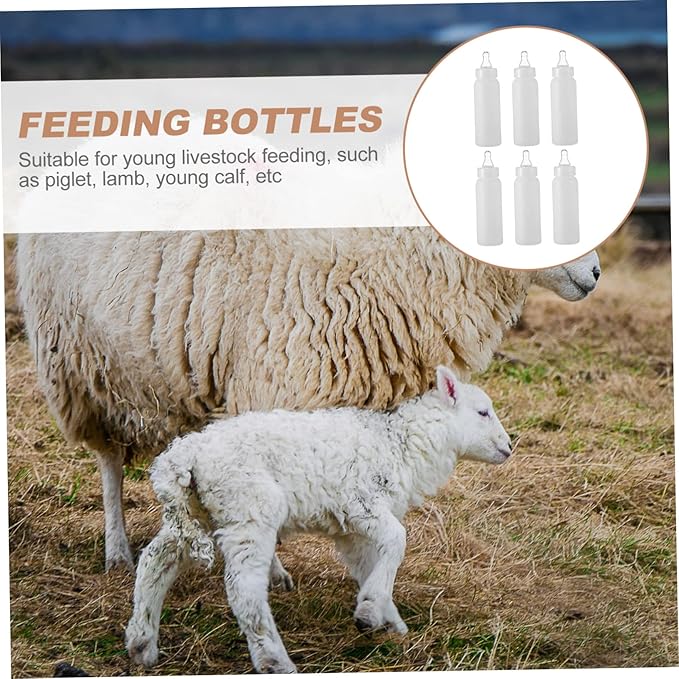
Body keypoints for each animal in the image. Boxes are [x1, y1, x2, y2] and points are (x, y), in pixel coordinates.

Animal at [125, 365, 511, 673]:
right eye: (482, 412)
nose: (509, 447)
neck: (401, 443)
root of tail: (185, 454)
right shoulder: (360, 501)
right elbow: (397, 540)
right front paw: (371, 610)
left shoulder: (351, 529)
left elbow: (368, 563)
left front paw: (385, 617)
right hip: (249, 508)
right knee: (244, 590)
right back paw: (274, 661)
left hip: (195, 510)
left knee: (156, 559)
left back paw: (142, 642)